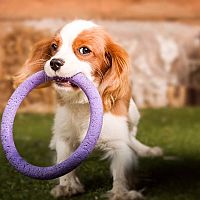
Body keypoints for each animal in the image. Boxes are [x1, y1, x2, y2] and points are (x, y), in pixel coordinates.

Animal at [14, 19, 163, 199]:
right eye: (54, 46)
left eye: (84, 50)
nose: (54, 62)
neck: (83, 103)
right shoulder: (65, 136)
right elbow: (64, 163)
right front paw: (67, 186)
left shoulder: (118, 142)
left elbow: (121, 170)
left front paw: (121, 192)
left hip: (134, 115)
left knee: (131, 136)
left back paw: (146, 150)